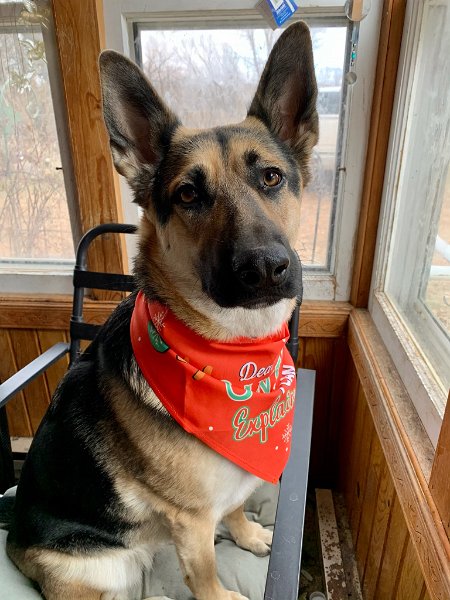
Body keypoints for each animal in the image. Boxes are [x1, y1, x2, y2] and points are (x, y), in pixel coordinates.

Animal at [5, 21, 318, 600]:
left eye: (270, 178)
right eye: (189, 194)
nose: (266, 268)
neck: (233, 357)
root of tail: (13, 537)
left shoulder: (229, 487)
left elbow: (235, 505)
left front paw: (246, 533)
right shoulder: (191, 521)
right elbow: (207, 575)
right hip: (96, 572)